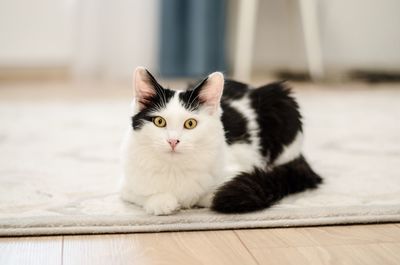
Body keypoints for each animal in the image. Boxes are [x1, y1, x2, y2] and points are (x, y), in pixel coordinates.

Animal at [119, 66, 322, 214]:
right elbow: (144, 195)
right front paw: (163, 201)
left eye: (190, 123)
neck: (175, 169)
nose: (173, 141)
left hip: (282, 101)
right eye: (159, 122)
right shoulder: (127, 186)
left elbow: (211, 194)